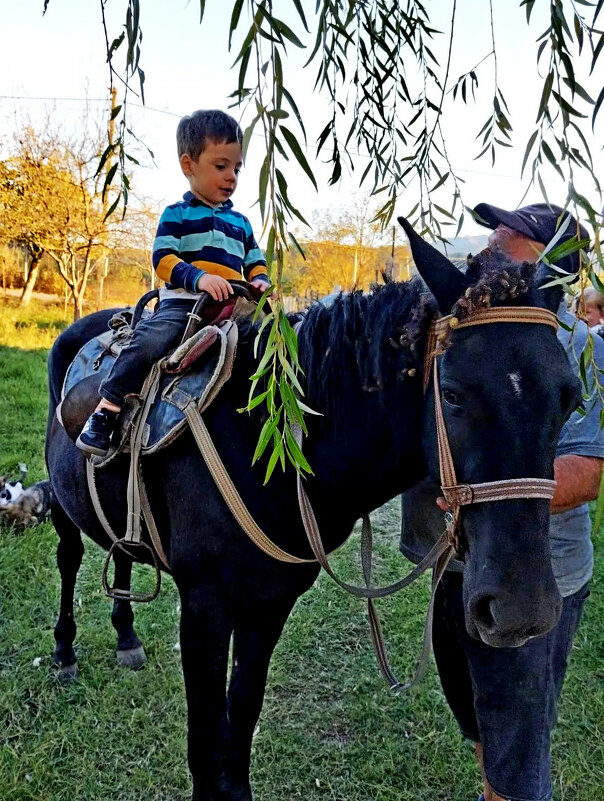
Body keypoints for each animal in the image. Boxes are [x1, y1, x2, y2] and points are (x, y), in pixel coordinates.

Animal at [43, 222, 580, 796]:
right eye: (453, 394)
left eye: (571, 398)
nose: (524, 611)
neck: (270, 443)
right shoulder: (205, 606)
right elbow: (206, 742)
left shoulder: (271, 602)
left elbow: (242, 714)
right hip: (62, 508)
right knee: (69, 560)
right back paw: (64, 652)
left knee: (121, 551)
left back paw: (126, 636)